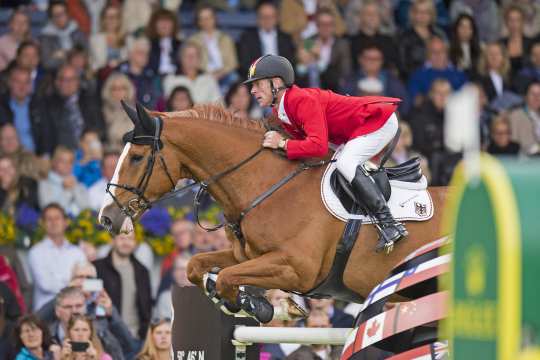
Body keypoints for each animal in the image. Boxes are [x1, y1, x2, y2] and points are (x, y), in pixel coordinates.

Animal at [98, 102, 448, 322]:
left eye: (137, 157)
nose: (106, 217)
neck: (266, 184)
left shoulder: (295, 268)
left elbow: (226, 278)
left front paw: (255, 306)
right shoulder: (247, 256)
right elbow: (198, 267)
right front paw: (249, 304)